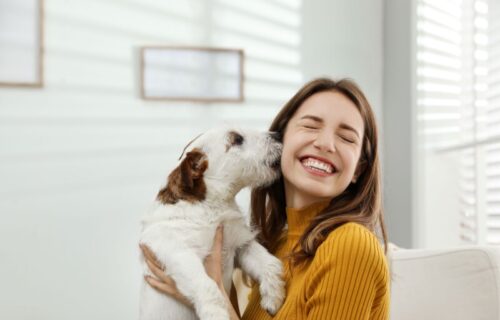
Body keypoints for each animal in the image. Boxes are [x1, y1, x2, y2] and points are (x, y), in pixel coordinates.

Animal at [139, 127, 288, 320]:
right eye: (237, 139)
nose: (278, 135)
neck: (211, 207)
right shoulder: (178, 251)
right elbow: (207, 286)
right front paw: (216, 313)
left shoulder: (241, 245)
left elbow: (270, 264)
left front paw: (273, 297)